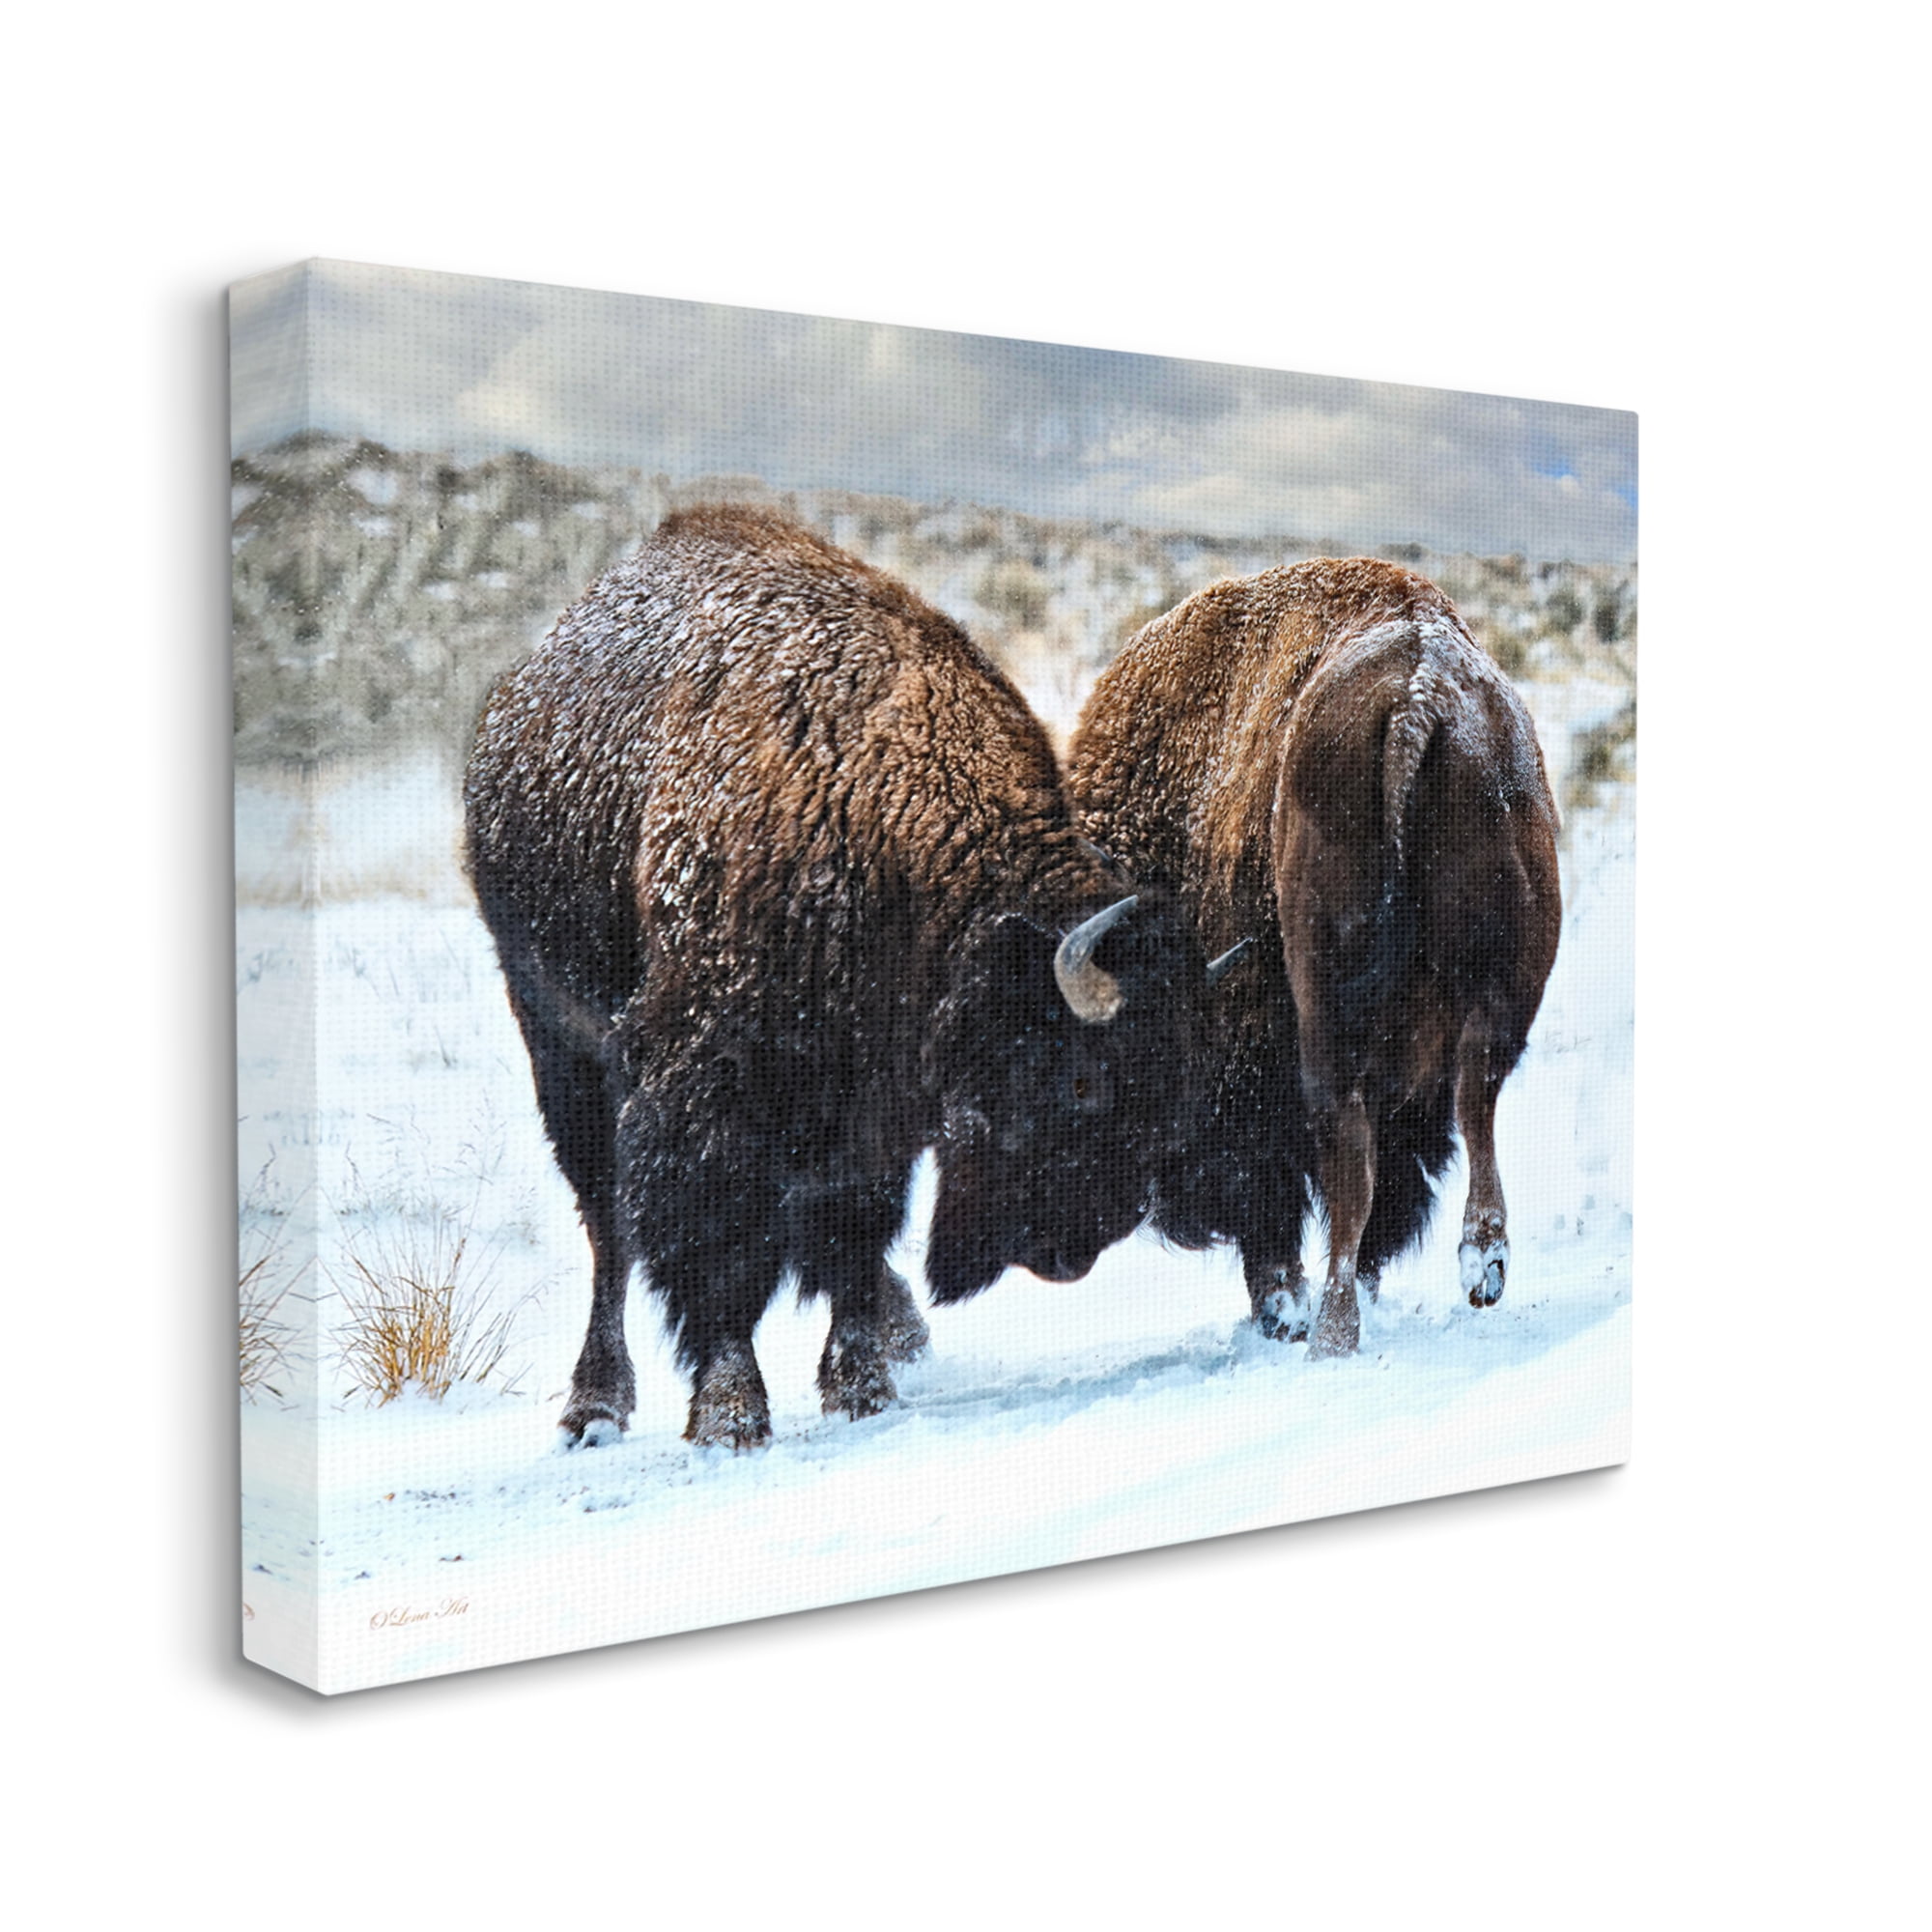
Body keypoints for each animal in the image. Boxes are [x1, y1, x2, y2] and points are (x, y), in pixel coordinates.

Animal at [465, 508, 1202, 1448]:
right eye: (1081, 1082)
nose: (1074, 1250)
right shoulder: (704, 1088)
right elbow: (719, 1251)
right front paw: (731, 1416)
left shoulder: (874, 1107)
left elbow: (851, 1231)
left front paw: (862, 1387)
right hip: (558, 1043)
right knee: (607, 1227)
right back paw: (594, 1406)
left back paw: (899, 1334)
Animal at [1068, 558, 1561, 1358]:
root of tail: (1421, 696)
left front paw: (1286, 1308)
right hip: (1504, 978)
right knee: (1475, 1091)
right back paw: (1481, 1264)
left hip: (1329, 1013)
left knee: (1351, 1148)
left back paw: (1332, 1330)